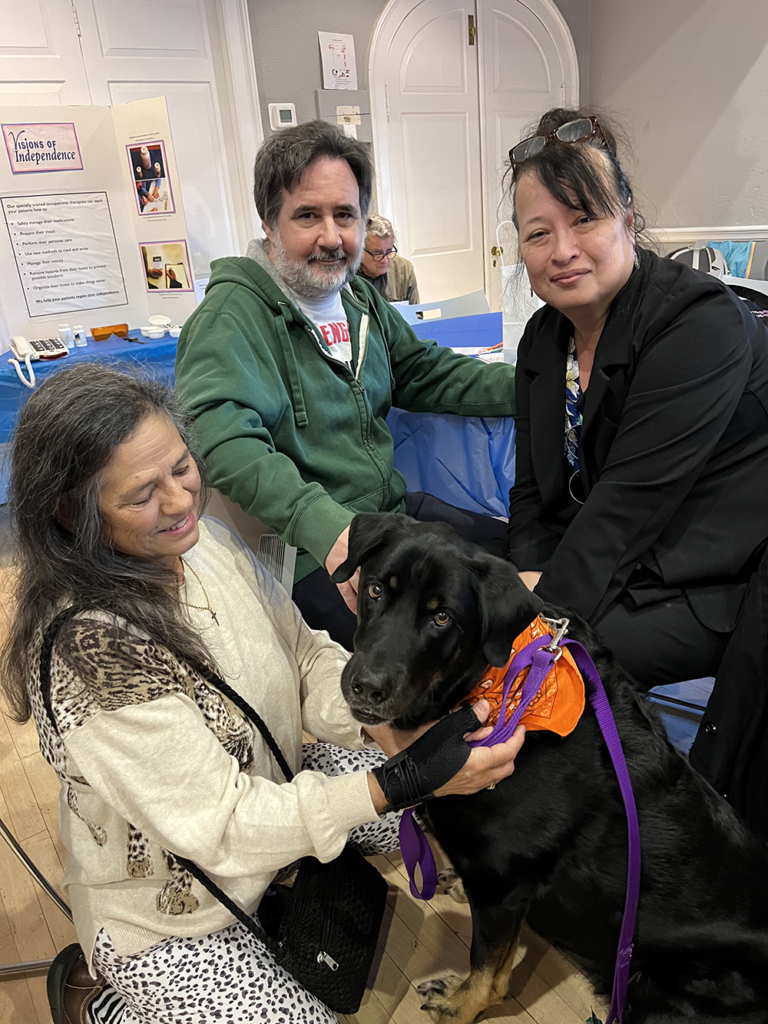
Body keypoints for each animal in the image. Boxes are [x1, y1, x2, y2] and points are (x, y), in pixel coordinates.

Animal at [333, 516, 768, 1024]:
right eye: (376, 589)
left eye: (442, 619)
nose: (366, 687)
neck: (504, 685)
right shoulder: (506, 889)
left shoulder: (503, 885)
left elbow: (489, 972)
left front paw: (461, 1005)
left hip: (656, 989)